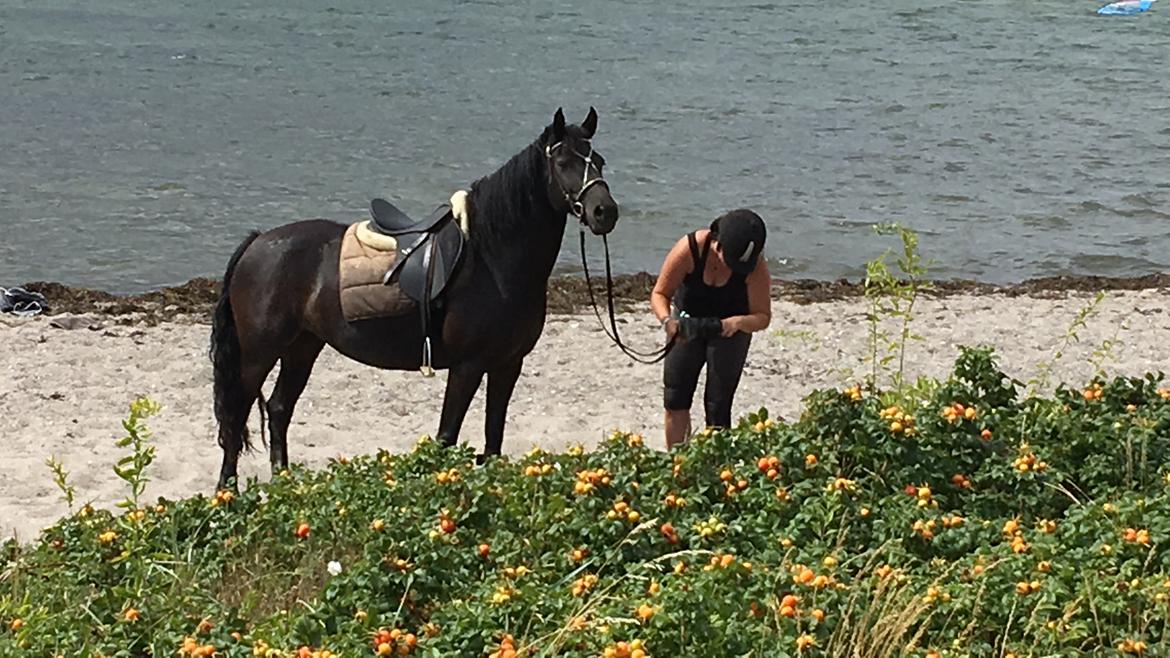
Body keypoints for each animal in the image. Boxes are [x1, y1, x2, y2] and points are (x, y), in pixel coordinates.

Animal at [208, 107, 622, 487]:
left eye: (599, 160)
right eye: (563, 162)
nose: (605, 212)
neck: (491, 258)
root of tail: (257, 242)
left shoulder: (507, 365)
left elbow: (493, 440)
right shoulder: (468, 366)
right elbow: (446, 437)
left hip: (302, 346)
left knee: (279, 408)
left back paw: (285, 483)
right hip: (259, 354)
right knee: (236, 415)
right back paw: (229, 491)